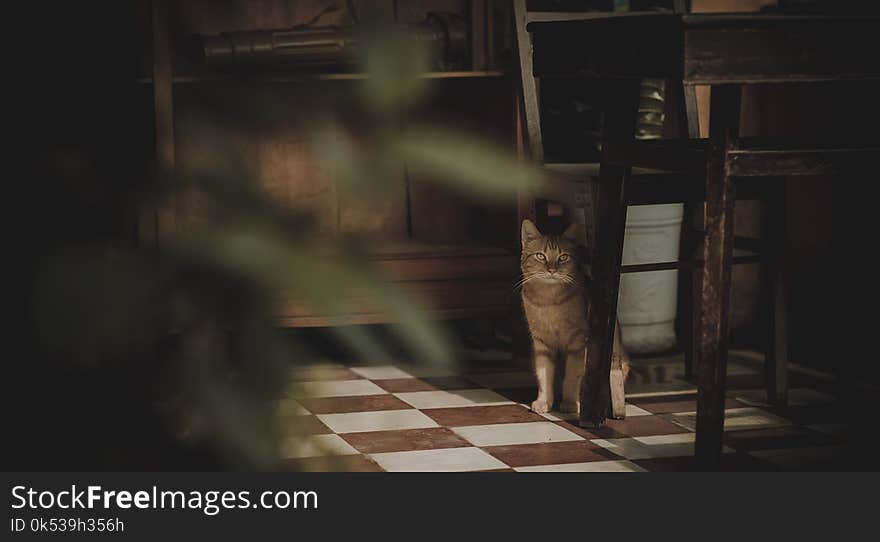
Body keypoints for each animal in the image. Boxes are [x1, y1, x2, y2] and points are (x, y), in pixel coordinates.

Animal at [520, 219, 628, 414]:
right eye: (540, 256)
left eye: (563, 257)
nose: (552, 270)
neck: (549, 300)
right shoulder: (542, 344)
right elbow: (544, 375)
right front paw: (544, 401)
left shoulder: (578, 343)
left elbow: (571, 376)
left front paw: (570, 403)